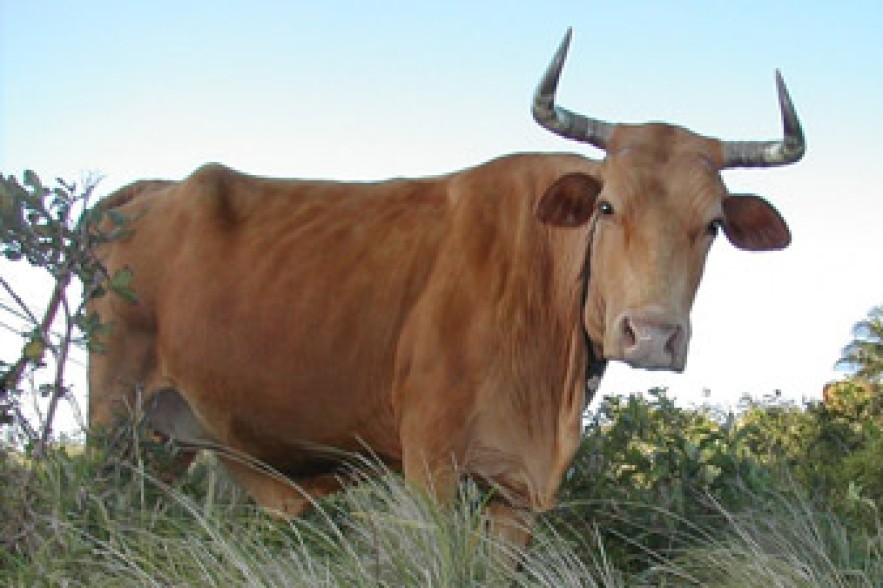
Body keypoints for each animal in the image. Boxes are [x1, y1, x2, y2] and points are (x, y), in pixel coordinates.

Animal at [88, 29, 804, 552]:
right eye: (606, 206)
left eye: (711, 224)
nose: (652, 335)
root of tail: (150, 192)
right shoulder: (428, 464)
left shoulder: (517, 493)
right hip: (113, 418)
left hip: (168, 439)